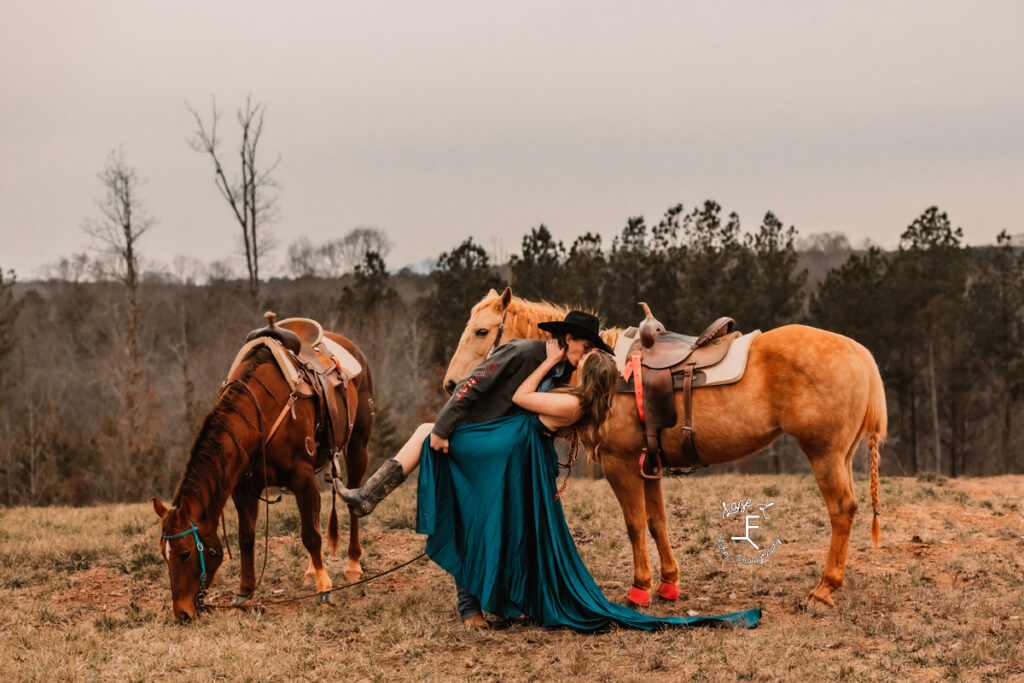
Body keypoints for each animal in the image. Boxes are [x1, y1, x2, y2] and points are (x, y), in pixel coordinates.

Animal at [149, 337, 374, 626]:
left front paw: (324, 589)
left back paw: (353, 564)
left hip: (358, 446)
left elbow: (310, 536)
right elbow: (247, 538)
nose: (182, 613)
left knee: (352, 502)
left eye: (185, 552)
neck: (259, 414)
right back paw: (311, 571)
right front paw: (244, 595)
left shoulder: (301, 477)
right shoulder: (244, 489)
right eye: (163, 555)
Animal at [444, 288, 884, 610]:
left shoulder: (620, 465)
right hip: (840, 455)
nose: (451, 384)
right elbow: (657, 523)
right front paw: (669, 584)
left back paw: (824, 588)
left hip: (823, 455)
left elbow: (635, 524)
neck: (605, 371)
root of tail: (860, 352)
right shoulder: (648, 464)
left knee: (841, 510)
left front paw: (640, 589)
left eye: (481, 331)